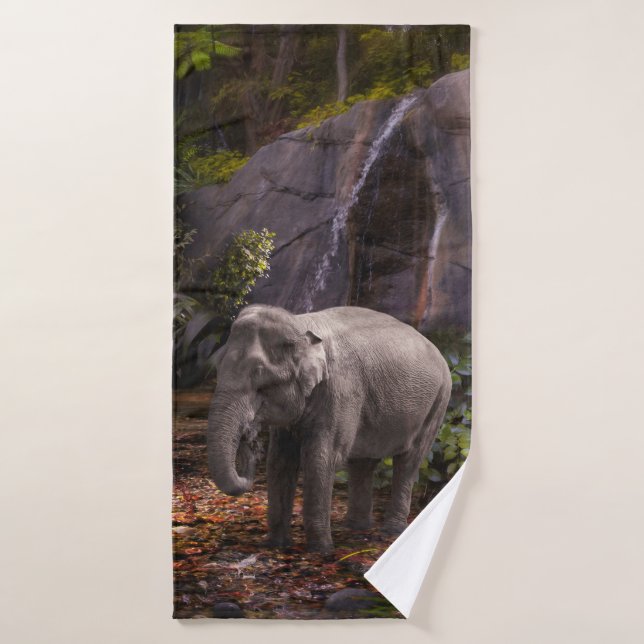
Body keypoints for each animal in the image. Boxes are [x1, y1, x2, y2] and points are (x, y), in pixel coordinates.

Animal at [207, 304, 452, 554]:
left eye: (260, 379)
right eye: (217, 366)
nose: (250, 438)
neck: (300, 324)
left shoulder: (341, 391)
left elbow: (321, 458)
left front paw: (321, 551)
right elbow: (280, 460)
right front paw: (275, 545)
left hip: (439, 401)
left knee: (409, 461)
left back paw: (391, 530)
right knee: (363, 462)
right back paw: (356, 527)